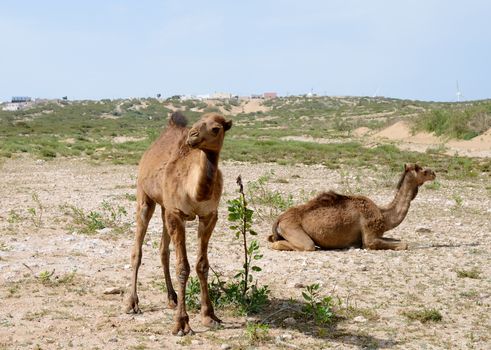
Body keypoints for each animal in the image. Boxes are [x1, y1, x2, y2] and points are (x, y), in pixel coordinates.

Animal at [127, 110, 234, 334]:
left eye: (216, 128)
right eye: (197, 123)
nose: (192, 136)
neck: (194, 190)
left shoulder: (209, 215)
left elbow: (202, 265)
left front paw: (209, 316)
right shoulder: (176, 213)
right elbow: (183, 267)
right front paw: (181, 323)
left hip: (164, 207)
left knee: (163, 250)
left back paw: (172, 298)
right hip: (145, 196)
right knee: (137, 250)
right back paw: (132, 303)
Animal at [270, 164, 436, 252]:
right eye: (421, 170)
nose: (433, 173)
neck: (384, 215)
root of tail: (279, 219)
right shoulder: (369, 237)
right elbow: (403, 244)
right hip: (293, 228)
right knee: (305, 245)